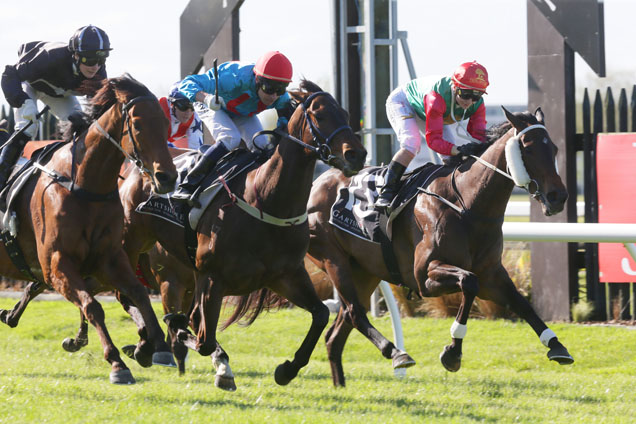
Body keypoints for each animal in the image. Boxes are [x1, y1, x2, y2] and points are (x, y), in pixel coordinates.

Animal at [0, 73, 178, 384]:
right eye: (138, 124)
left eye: (166, 124)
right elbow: (93, 305)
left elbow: (138, 293)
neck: (83, 185)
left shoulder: (109, 258)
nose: (166, 177)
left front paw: (156, 347)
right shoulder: (57, 264)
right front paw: (117, 363)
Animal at [119, 80, 366, 390]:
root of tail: (138, 165)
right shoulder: (212, 278)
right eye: (320, 115)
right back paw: (145, 345)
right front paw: (185, 338)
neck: (265, 199)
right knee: (128, 292)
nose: (357, 155)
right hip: (133, 245)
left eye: (346, 114)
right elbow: (202, 338)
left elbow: (320, 314)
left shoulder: (285, 275)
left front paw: (287, 369)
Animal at [306, 107, 572, 386]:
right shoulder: (424, 276)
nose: (558, 197)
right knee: (354, 312)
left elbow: (521, 303)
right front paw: (453, 352)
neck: (467, 204)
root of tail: (317, 183)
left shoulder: (492, 275)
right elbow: (468, 282)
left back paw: (338, 384)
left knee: (338, 331)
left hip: (364, 271)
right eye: (527, 148)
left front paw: (556, 345)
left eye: (554, 148)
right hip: (334, 260)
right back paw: (397, 354)